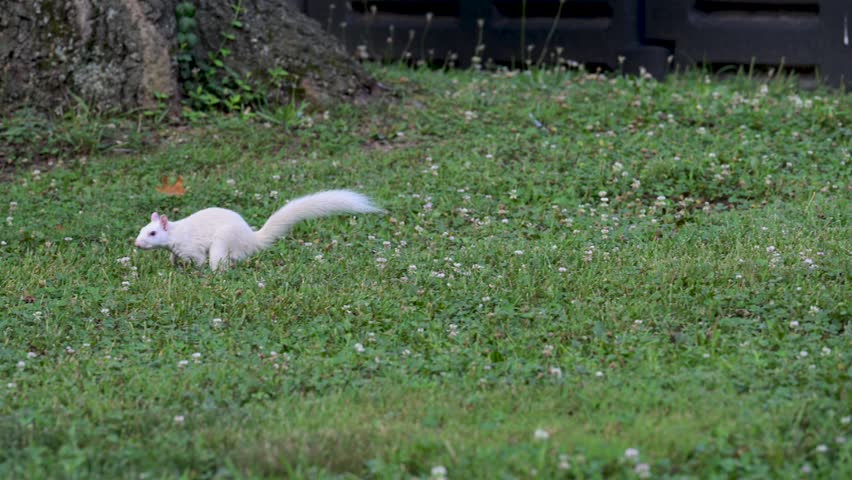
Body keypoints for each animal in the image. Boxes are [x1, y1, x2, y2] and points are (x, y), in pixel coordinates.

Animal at [134, 189, 383, 271]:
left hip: (222, 244)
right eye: (142, 229)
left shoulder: (191, 248)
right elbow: (173, 259)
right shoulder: (175, 250)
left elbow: (198, 260)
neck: (175, 233)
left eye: (152, 233)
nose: (136, 244)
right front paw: (174, 267)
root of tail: (251, 240)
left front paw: (195, 272)